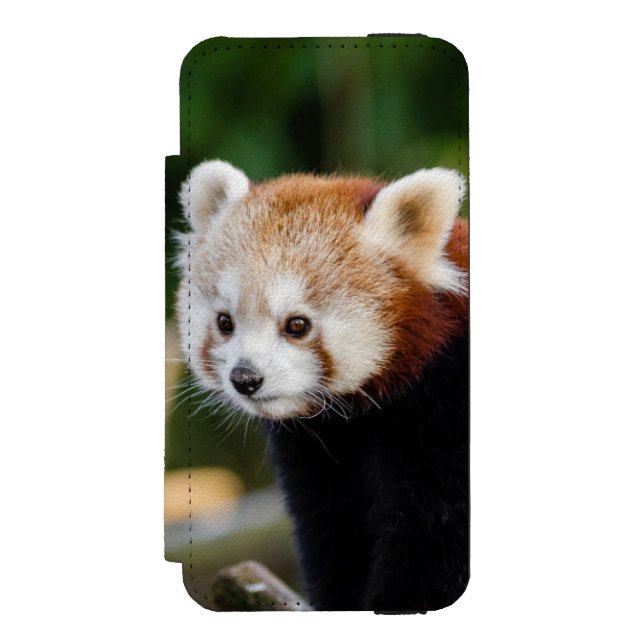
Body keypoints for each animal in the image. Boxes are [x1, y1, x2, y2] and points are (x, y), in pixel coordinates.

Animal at [176, 160, 469, 612]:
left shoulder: (445, 414)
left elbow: (433, 539)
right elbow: (331, 530)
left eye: (297, 325)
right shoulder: (317, 456)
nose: (245, 378)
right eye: (225, 322)